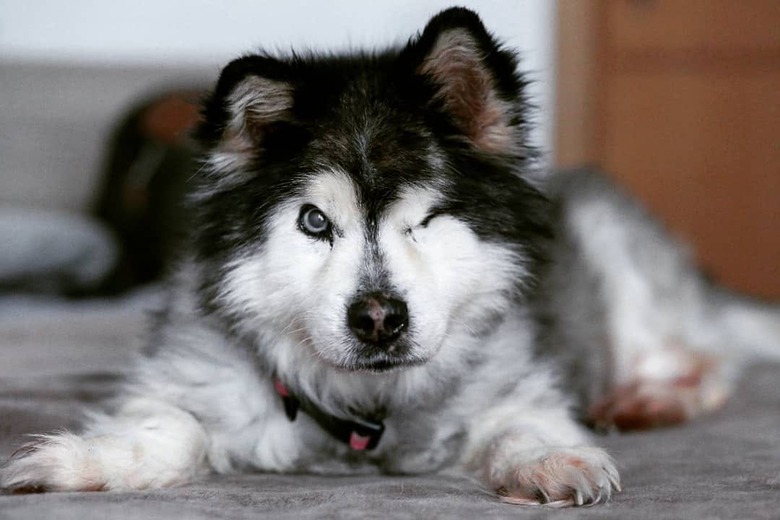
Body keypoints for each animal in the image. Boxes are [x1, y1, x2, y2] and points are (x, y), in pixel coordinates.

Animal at [1, 6, 780, 506]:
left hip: (621, 262)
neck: (362, 419)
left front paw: (553, 460)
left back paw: (646, 400)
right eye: (315, 221)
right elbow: (166, 428)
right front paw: (84, 460)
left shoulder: (516, 383)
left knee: (709, 360)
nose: (379, 318)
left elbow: (521, 424)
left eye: (427, 218)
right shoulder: (194, 382)